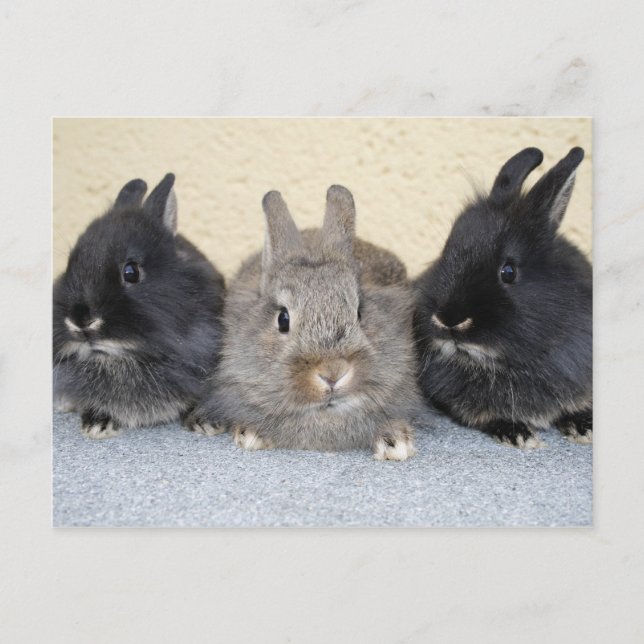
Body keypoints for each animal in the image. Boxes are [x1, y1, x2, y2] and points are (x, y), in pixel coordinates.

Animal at [53, 173, 226, 438]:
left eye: (131, 272)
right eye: (70, 265)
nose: (80, 321)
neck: (124, 359)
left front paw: (204, 421)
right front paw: (97, 424)